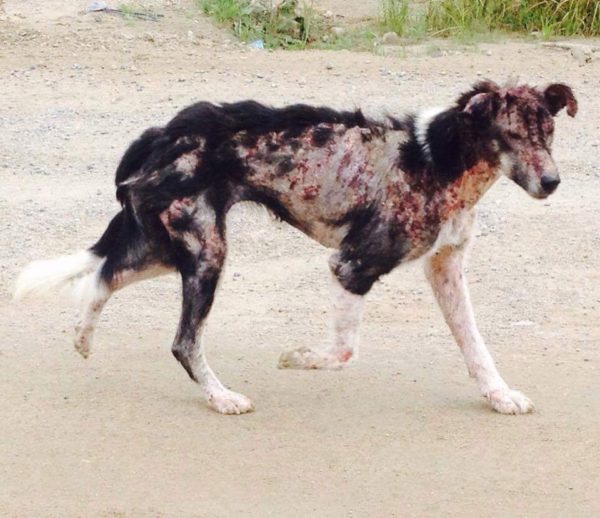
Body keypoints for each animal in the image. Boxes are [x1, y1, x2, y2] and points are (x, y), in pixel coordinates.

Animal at [14, 79, 576, 416]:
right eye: (511, 135)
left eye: (548, 133)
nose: (552, 183)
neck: (438, 157)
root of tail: (162, 132)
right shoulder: (352, 265)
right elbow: (343, 351)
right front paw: (296, 358)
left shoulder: (445, 269)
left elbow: (476, 346)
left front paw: (499, 396)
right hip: (205, 254)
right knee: (181, 341)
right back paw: (221, 398)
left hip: (171, 248)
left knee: (103, 275)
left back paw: (83, 337)